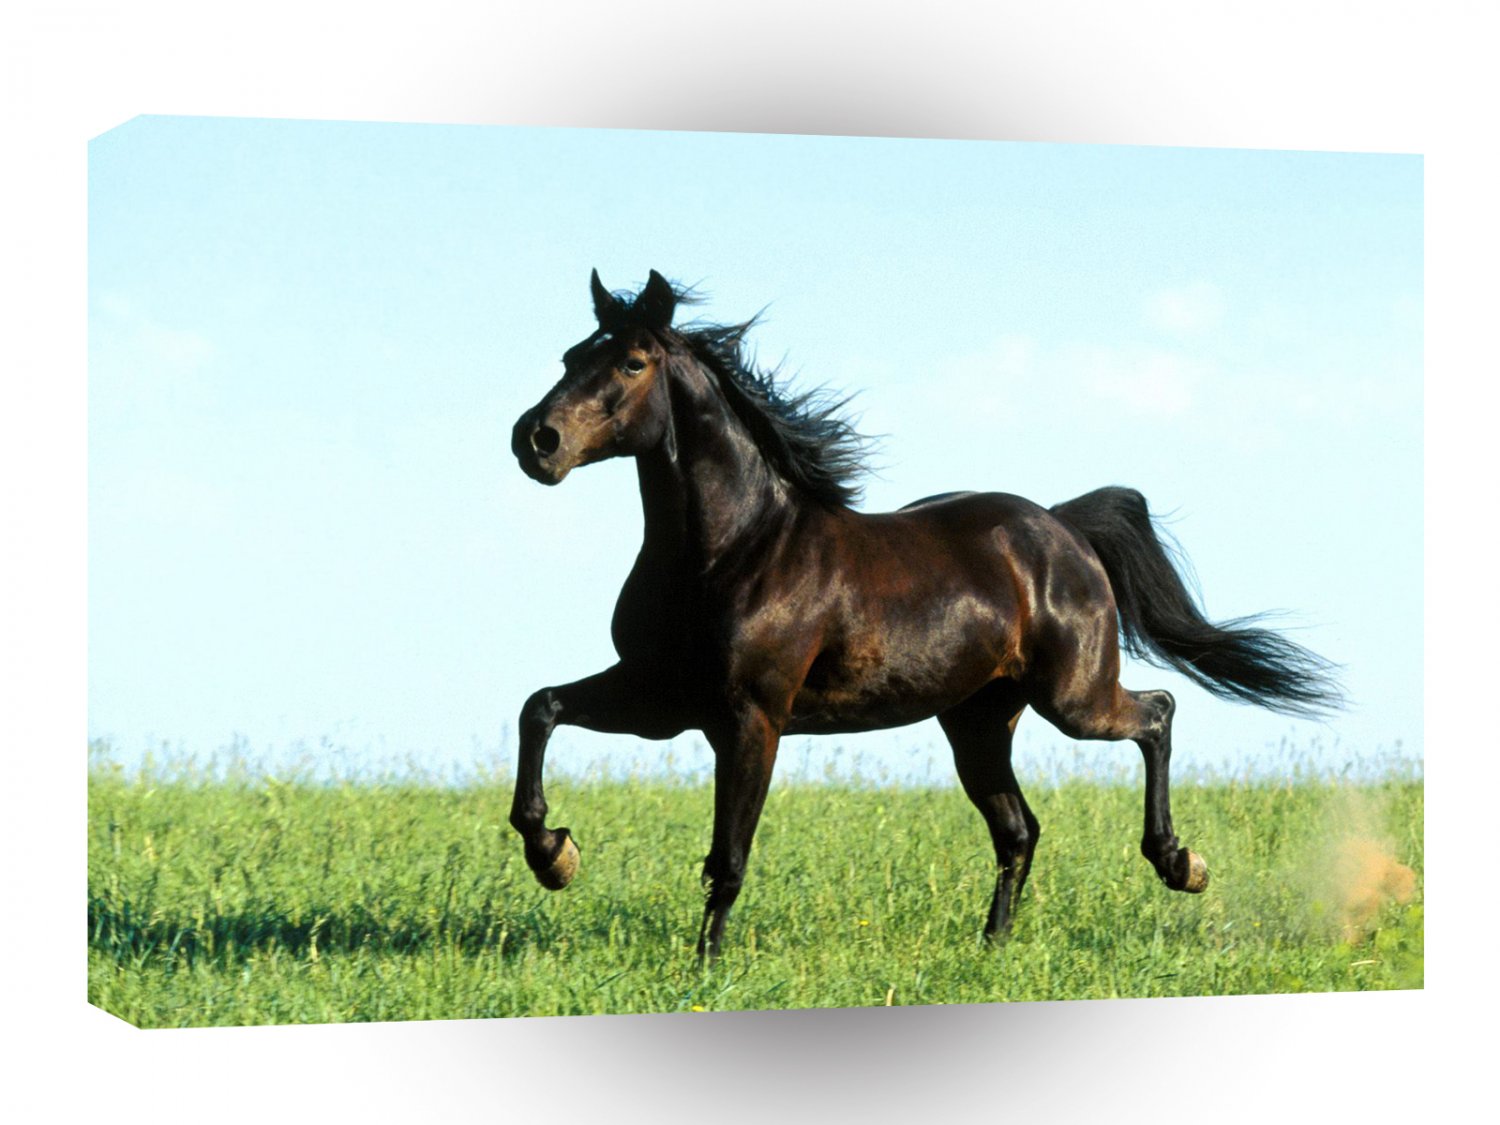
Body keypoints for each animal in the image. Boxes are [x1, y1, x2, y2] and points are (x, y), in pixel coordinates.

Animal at [508, 270, 1341, 959]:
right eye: (570, 355)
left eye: (631, 363)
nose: (535, 440)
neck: (734, 550)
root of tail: (1062, 527)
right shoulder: (665, 696)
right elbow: (540, 708)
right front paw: (554, 854)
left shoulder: (749, 717)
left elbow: (729, 855)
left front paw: (704, 967)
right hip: (978, 719)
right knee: (1019, 828)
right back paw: (992, 946)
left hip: (1073, 699)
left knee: (1157, 712)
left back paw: (1181, 863)